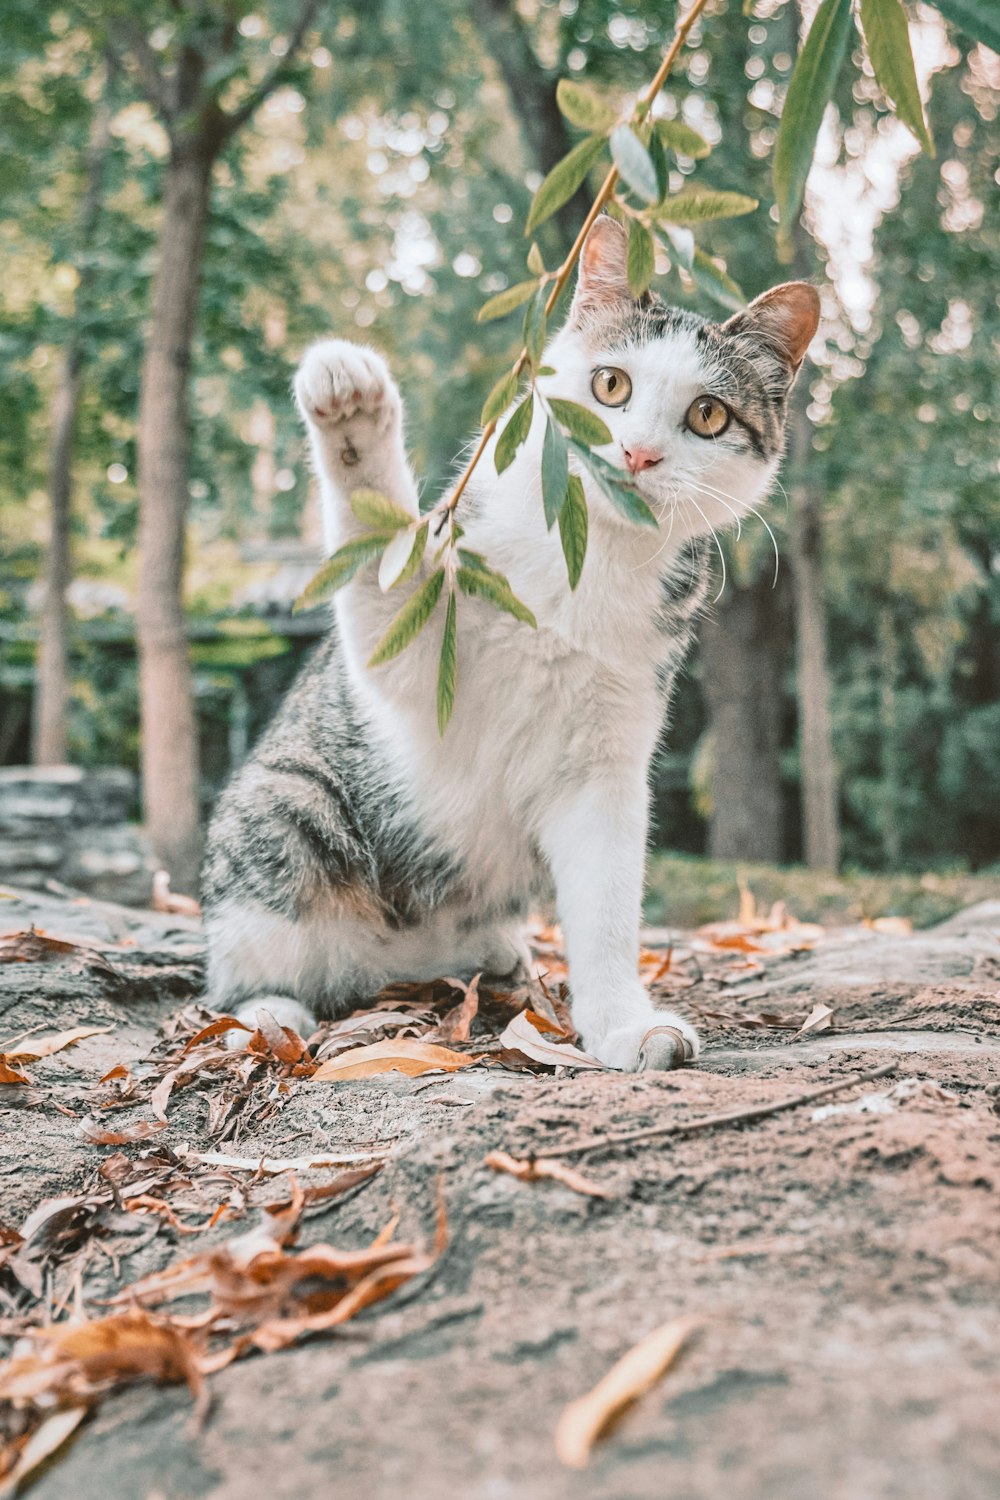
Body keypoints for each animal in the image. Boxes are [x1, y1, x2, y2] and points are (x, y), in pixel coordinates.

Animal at [199, 217, 815, 1074]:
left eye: (709, 416)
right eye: (611, 385)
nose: (639, 454)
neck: (588, 557)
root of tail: (393, 971)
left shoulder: (605, 766)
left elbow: (607, 908)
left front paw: (624, 1025)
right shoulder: (424, 649)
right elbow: (387, 574)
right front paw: (352, 410)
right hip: (287, 806)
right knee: (243, 963)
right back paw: (269, 1014)